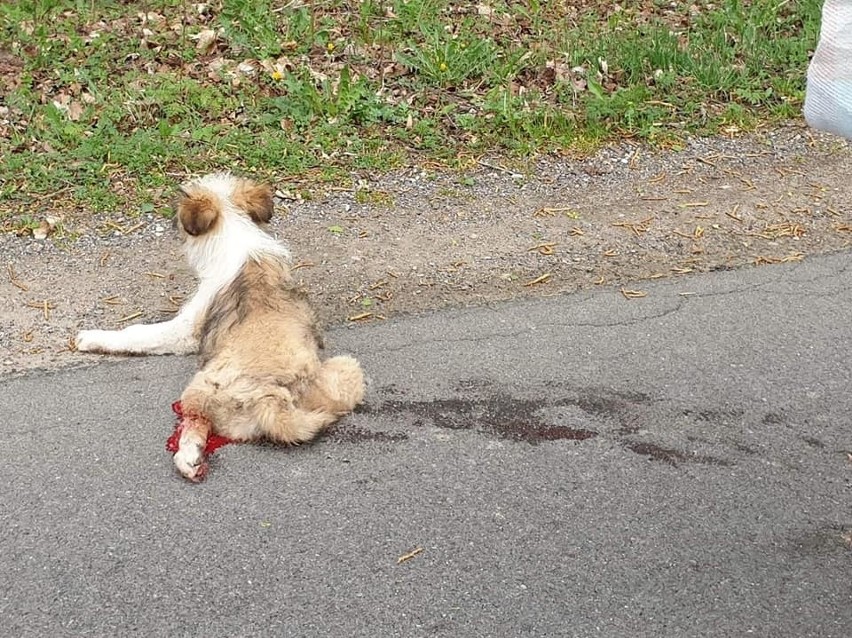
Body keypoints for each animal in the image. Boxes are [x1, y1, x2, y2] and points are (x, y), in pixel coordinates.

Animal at [75, 172, 362, 482]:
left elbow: (138, 333)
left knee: (195, 422)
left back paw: (188, 459)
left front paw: (91, 338)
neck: (235, 235)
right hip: (347, 369)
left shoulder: (186, 330)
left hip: (201, 387)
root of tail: (272, 399)